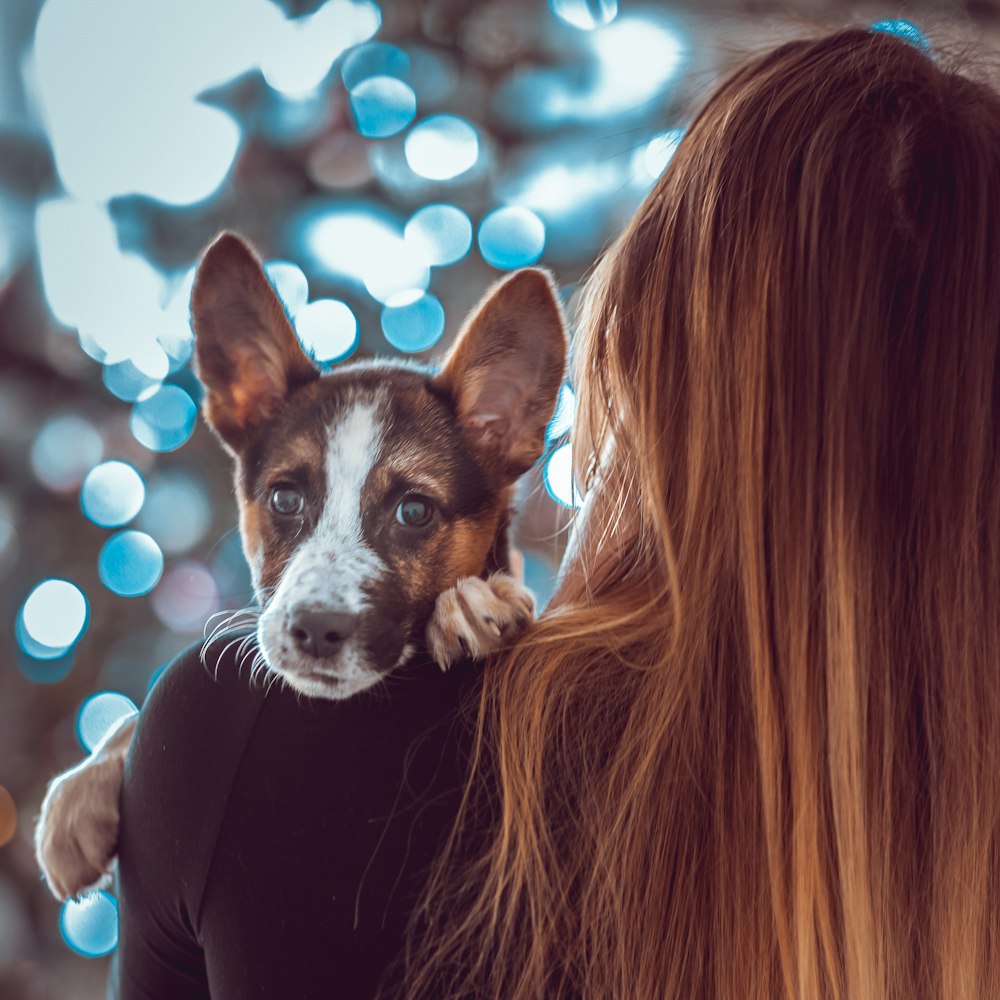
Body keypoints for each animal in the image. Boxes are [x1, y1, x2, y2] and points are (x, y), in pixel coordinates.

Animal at [35, 232, 568, 900]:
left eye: (415, 511)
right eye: (285, 499)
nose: (315, 629)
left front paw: (475, 603)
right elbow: (127, 719)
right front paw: (76, 795)